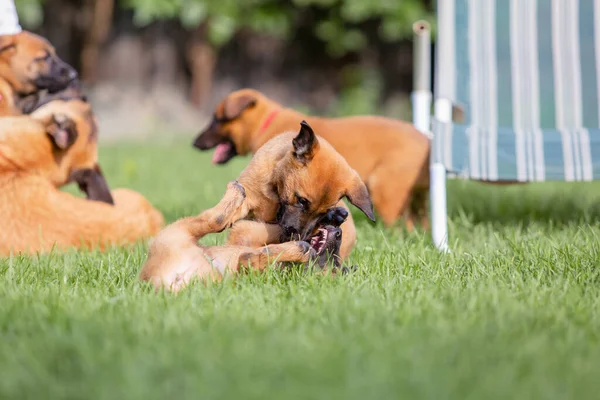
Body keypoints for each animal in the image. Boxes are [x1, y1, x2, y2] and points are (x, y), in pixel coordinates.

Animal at [193, 87, 432, 231]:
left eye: (216, 120)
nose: (195, 143)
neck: (267, 122)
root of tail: (427, 140)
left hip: (384, 191)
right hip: (416, 198)